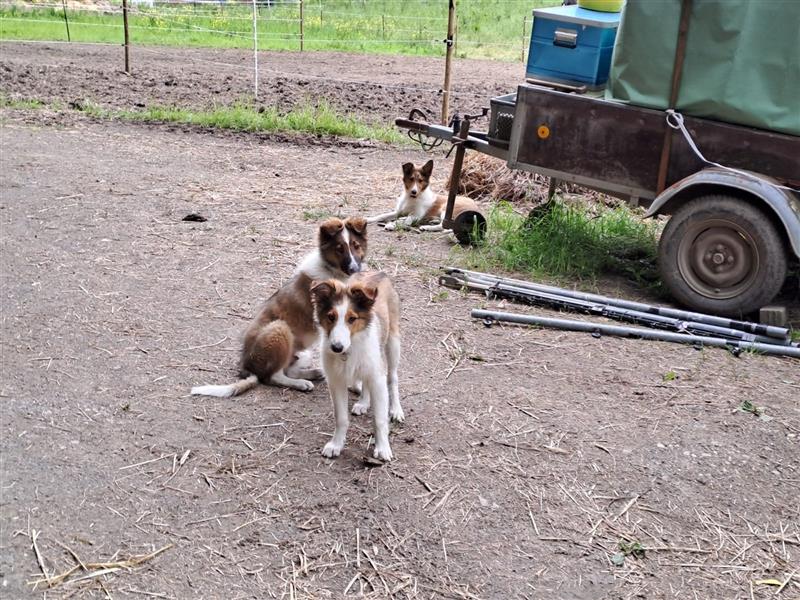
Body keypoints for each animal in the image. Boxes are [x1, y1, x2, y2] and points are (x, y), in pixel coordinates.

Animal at [191, 217, 368, 398]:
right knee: (273, 377)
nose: (354, 269)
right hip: (280, 329)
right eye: (339, 249)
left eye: (356, 246)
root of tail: (247, 367)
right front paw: (356, 386)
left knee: (288, 370)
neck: (334, 273)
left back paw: (313, 373)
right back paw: (301, 383)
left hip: (301, 353)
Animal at [310, 274, 404, 462]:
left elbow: (379, 419)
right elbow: (341, 418)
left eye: (352, 319)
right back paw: (363, 402)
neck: (350, 348)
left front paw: (382, 447)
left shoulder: (378, 379)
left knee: (393, 378)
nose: (336, 347)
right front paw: (336, 444)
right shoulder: (336, 381)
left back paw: (396, 409)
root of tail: (380, 273)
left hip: (392, 343)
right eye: (331, 317)